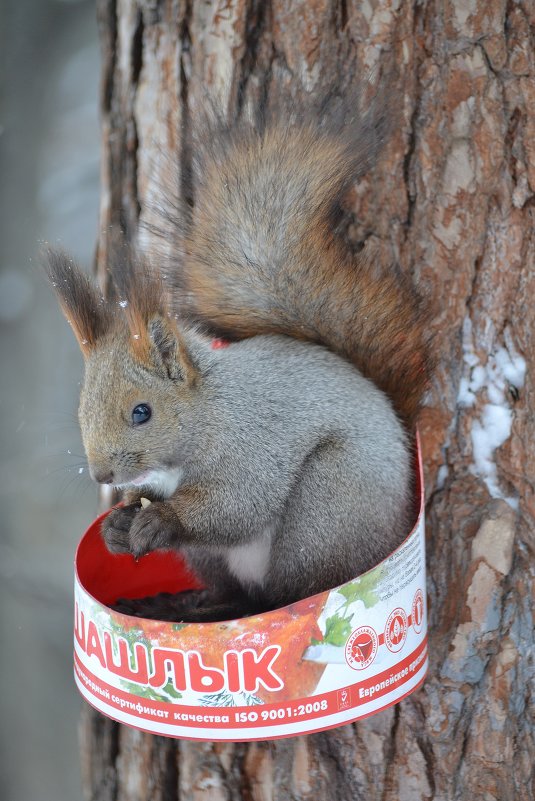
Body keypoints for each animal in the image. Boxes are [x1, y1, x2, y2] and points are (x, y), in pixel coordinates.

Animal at [44, 92, 434, 620]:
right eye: (82, 411)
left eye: (142, 412)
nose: (102, 475)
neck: (208, 415)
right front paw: (117, 525)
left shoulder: (252, 447)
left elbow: (235, 506)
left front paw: (161, 519)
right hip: (214, 558)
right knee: (238, 593)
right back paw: (192, 606)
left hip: (328, 506)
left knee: (287, 593)